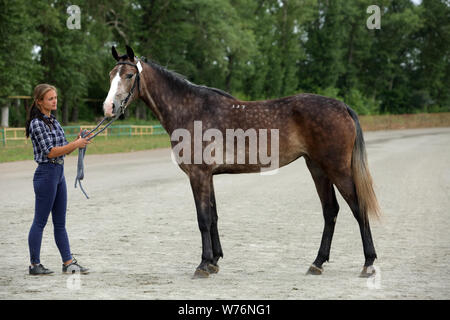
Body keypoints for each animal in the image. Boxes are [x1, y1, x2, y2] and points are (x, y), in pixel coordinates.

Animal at [103, 46, 382, 278]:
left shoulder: (198, 175)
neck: (191, 110)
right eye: (111, 74)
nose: (109, 108)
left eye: (129, 75)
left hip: (337, 169)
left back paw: (368, 263)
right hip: (317, 168)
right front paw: (214, 261)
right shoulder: (208, 176)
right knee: (330, 211)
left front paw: (202, 265)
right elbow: (213, 217)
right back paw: (317, 263)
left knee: (357, 207)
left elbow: (202, 219)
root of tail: (342, 106)